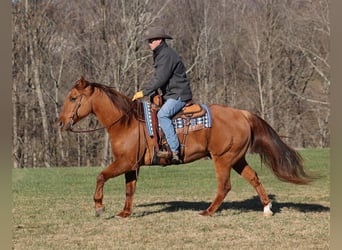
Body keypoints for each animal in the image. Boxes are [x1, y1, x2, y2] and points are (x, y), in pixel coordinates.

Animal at [57, 77, 314, 218]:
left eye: (73, 98)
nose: (60, 122)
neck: (125, 121)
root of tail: (242, 113)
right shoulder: (131, 164)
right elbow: (130, 189)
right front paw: (124, 213)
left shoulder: (124, 162)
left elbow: (101, 176)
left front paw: (99, 207)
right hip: (236, 158)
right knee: (253, 178)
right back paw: (267, 208)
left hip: (222, 159)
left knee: (224, 186)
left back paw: (208, 212)